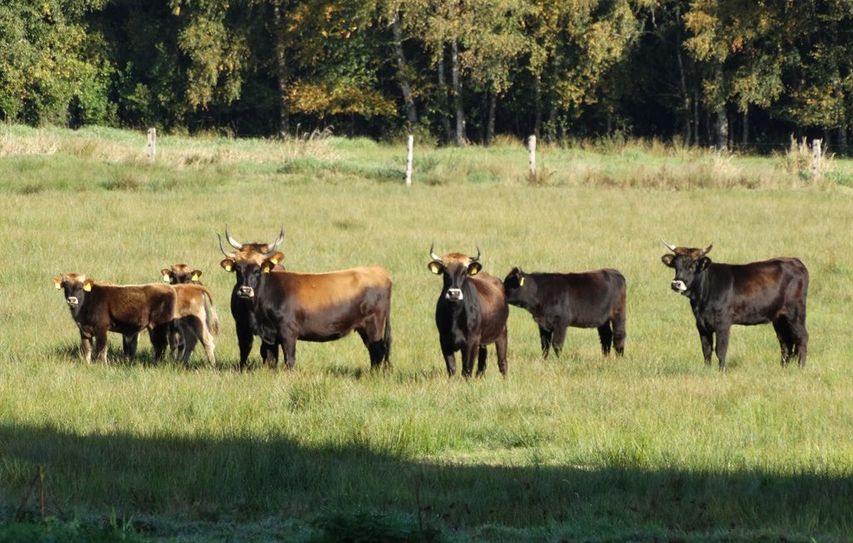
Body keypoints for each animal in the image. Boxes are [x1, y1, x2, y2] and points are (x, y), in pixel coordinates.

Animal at [53, 274, 218, 368]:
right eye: (66, 286)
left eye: (80, 287)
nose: (72, 300)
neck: (89, 299)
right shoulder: (84, 330)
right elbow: (86, 349)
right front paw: (87, 364)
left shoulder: (101, 329)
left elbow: (101, 348)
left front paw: (102, 365)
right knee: (186, 343)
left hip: (163, 326)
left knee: (168, 345)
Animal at [221, 251, 392, 370]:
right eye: (238, 269)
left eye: (257, 270)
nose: (245, 290)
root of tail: (382, 273)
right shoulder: (269, 335)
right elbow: (271, 359)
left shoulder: (288, 332)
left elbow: (289, 359)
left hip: (374, 325)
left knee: (378, 352)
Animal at [426, 244, 506, 376]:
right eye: (445, 272)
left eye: (464, 272)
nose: (454, 293)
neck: (455, 315)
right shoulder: (444, 340)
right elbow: (452, 368)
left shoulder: (471, 342)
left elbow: (467, 369)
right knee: (482, 362)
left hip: (501, 333)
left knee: (502, 361)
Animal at [664, 244, 808, 372]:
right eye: (676, 266)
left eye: (692, 266)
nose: (676, 284)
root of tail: (795, 261)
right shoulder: (701, 324)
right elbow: (706, 349)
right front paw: (707, 370)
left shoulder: (723, 323)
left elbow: (720, 349)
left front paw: (721, 372)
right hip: (779, 317)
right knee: (785, 343)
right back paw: (783, 368)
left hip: (795, 313)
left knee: (802, 337)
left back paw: (801, 368)